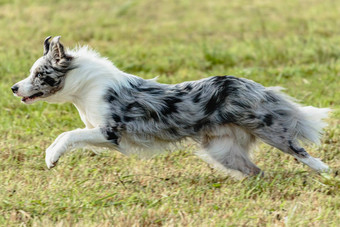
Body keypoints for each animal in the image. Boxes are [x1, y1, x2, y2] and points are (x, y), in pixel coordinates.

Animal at [11, 36, 330, 176]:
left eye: (38, 74)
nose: (13, 88)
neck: (85, 86)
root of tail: (255, 86)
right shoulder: (102, 134)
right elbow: (68, 136)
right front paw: (51, 157)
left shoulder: (110, 131)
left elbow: (67, 135)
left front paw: (51, 157)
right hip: (223, 151)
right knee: (257, 171)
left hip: (270, 130)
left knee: (303, 153)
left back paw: (324, 172)